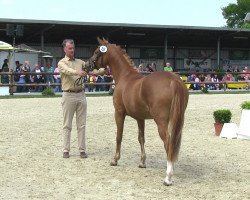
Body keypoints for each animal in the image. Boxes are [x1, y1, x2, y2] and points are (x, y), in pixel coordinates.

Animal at [89, 38, 188, 186]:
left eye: (96, 51)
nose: (87, 65)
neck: (125, 76)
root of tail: (174, 80)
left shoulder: (119, 113)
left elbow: (119, 136)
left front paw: (115, 160)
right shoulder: (140, 118)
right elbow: (141, 138)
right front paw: (142, 162)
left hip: (161, 122)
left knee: (168, 142)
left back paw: (168, 177)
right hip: (177, 120)